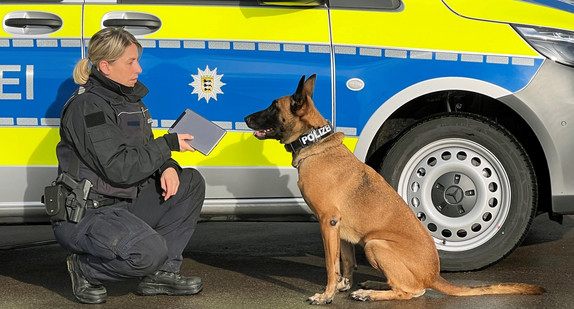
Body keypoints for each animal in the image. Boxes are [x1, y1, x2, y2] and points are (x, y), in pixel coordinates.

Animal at [245, 74, 548, 304]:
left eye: (272, 107)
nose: (246, 118)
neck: (315, 143)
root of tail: (433, 275)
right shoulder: (340, 229)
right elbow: (346, 263)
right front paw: (343, 286)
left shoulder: (327, 222)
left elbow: (331, 266)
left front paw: (327, 295)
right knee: (404, 286)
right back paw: (373, 285)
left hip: (376, 244)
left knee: (411, 292)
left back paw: (371, 294)